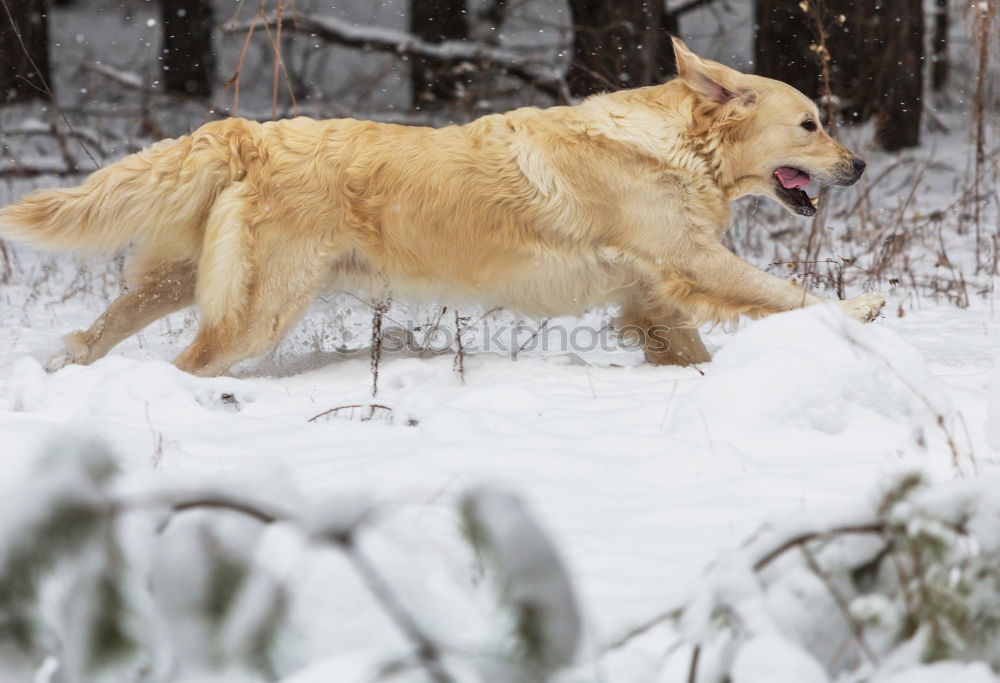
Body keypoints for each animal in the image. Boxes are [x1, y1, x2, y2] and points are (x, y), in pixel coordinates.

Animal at [0, 39, 880, 376]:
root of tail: (250, 133)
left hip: (189, 276)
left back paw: (65, 367)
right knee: (190, 360)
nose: (862, 164)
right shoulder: (689, 258)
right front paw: (861, 311)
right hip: (261, 307)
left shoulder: (651, 293)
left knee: (101, 327)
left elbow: (690, 343)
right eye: (811, 124)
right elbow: (783, 290)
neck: (678, 147)